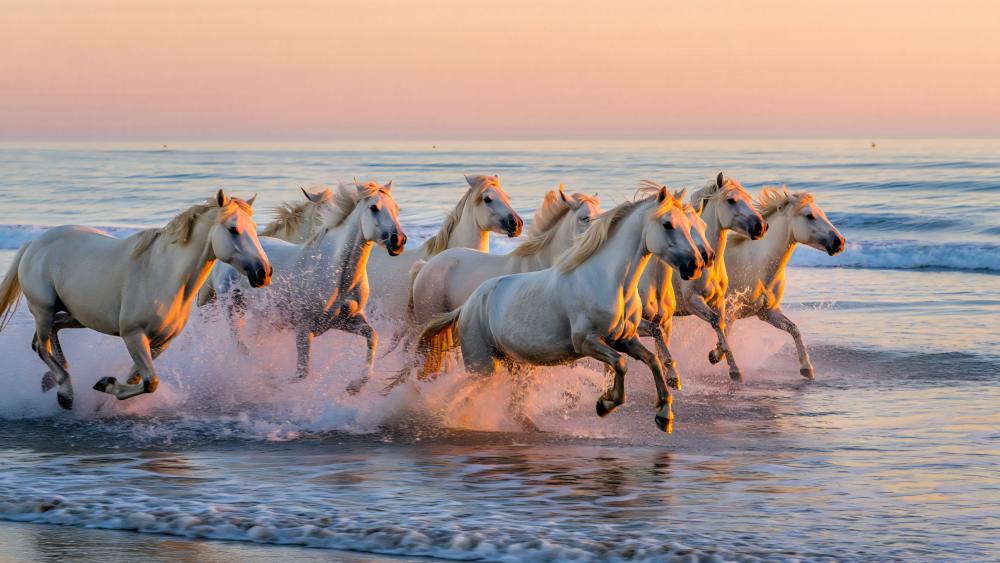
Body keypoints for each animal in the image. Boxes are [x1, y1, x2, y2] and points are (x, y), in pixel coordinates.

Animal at [0, 191, 272, 409]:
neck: (164, 276)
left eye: (254, 227)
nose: (264, 273)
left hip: (77, 316)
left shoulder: (160, 343)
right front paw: (106, 386)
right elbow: (151, 381)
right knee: (41, 346)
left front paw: (106, 396)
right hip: (43, 309)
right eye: (233, 229)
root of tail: (35, 243)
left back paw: (54, 378)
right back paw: (65, 393)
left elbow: (138, 378)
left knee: (49, 335)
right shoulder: (133, 335)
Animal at [205, 180, 406, 393]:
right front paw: (275, 384)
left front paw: (354, 386)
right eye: (374, 207)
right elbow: (301, 374)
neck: (336, 274)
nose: (399, 241)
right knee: (239, 344)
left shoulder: (346, 321)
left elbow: (372, 337)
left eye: (396, 208)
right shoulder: (303, 329)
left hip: (264, 318)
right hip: (233, 309)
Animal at [667, 173, 767, 382]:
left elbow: (721, 324)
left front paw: (715, 355)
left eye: (747, 198)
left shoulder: (718, 300)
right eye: (731, 200)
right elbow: (715, 322)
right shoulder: (693, 302)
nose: (761, 226)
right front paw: (734, 370)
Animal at [712, 186, 844, 379]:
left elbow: (794, 329)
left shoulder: (767, 312)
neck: (755, 266)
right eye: (809, 216)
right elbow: (724, 335)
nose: (839, 242)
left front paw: (807, 368)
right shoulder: (730, 311)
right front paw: (717, 358)